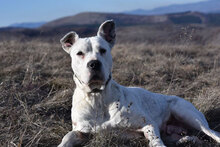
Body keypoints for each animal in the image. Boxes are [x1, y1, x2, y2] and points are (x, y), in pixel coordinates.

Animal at [57, 20, 219, 146]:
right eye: (79, 53)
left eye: (103, 50)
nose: (94, 64)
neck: (98, 98)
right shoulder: (81, 132)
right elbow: (68, 136)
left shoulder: (148, 124)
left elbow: (155, 140)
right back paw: (187, 140)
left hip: (186, 113)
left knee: (213, 133)